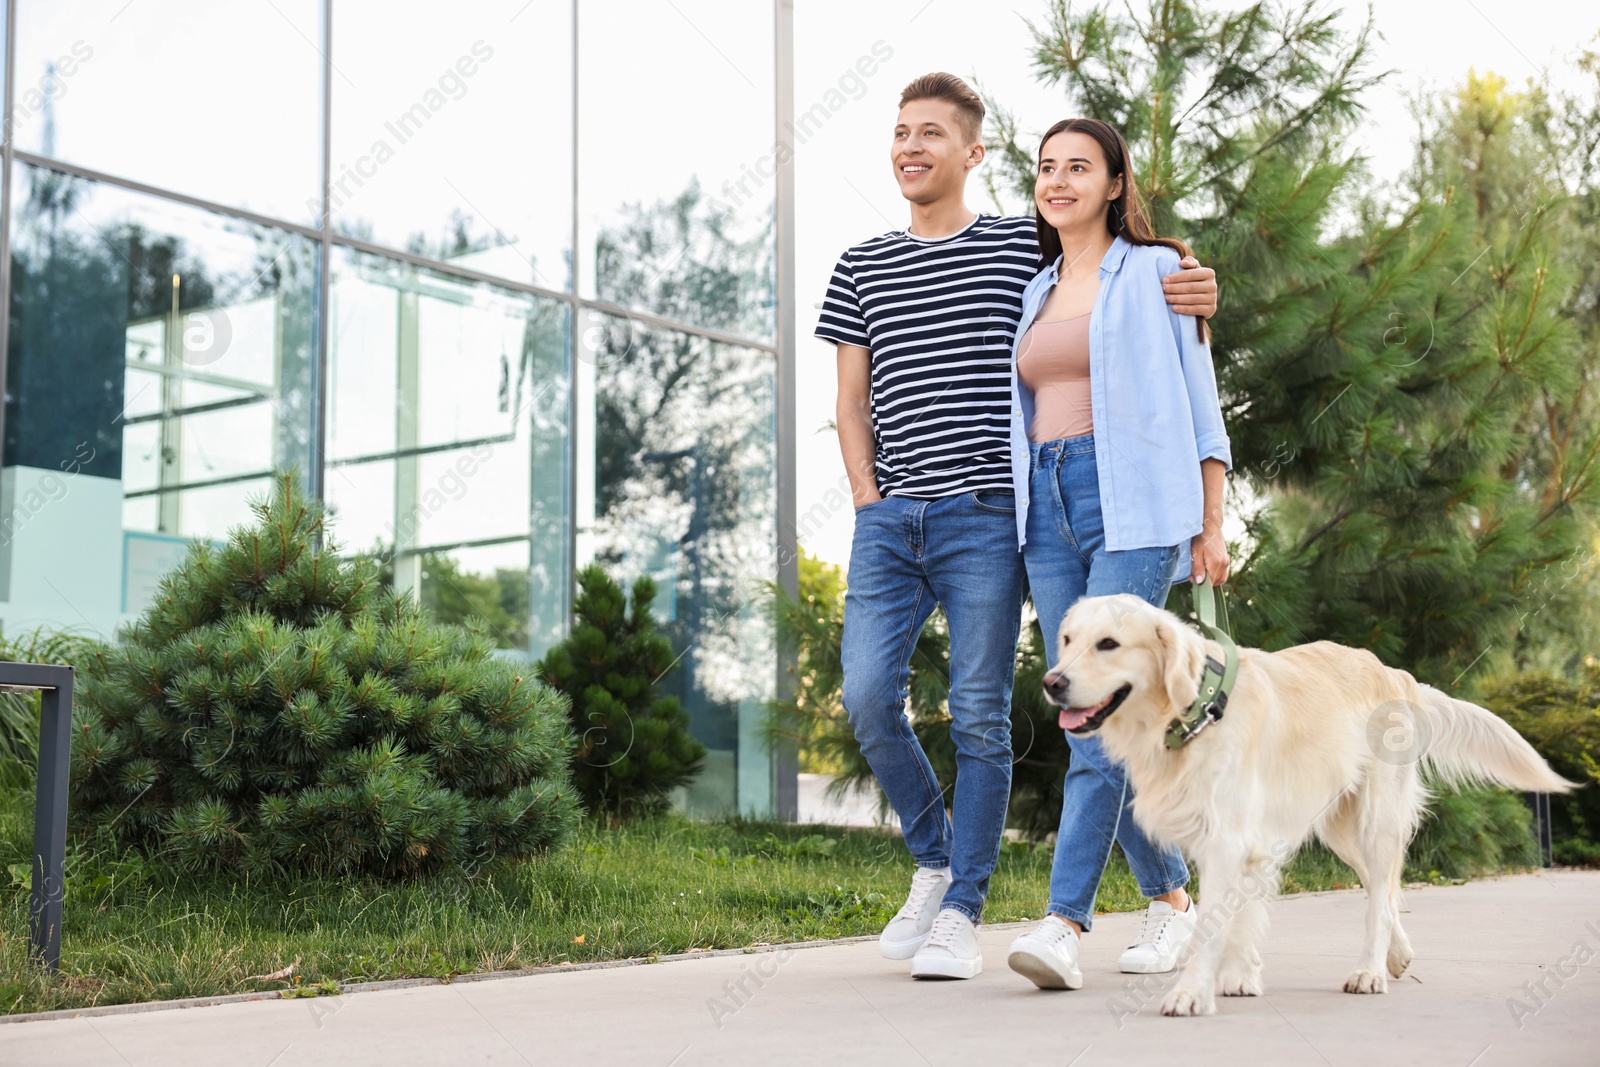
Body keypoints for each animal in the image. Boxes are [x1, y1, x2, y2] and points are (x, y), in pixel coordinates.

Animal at [1036, 591, 1574, 1017]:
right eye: (1067, 639)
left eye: (1109, 644)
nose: (1052, 682)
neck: (1197, 710)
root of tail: (1394, 673)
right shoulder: (1247, 842)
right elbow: (1242, 916)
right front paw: (1240, 976)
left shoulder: (1228, 839)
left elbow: (1216, 924)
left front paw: (1194, 993)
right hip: (1339, 829)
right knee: (1383, 891)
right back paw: (1395, 956)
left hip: (1375, 820)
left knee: (1380, 899)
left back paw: (1369, 971)